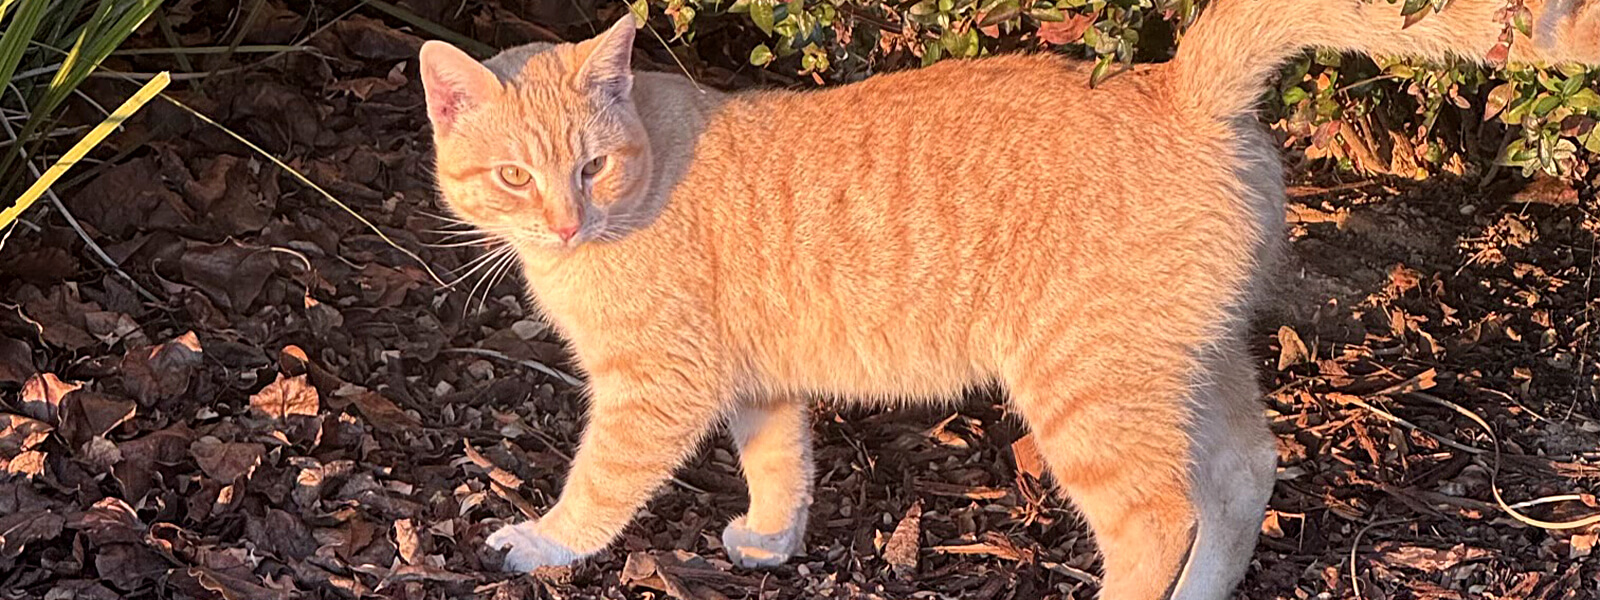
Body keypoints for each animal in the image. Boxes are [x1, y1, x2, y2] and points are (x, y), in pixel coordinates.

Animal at [425, 1, 1600, 598]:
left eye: (590, 165)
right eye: (516, 177)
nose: (563, 223)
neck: (650, 172)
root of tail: (1175, 81)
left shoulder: (654, 388)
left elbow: (601, 486)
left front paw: (543, 543)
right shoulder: (755, 381)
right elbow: (779, 462)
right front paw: (768, 539)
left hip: (1085, 385)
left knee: (1156, 518)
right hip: (1187, 363)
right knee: (1241, 477)